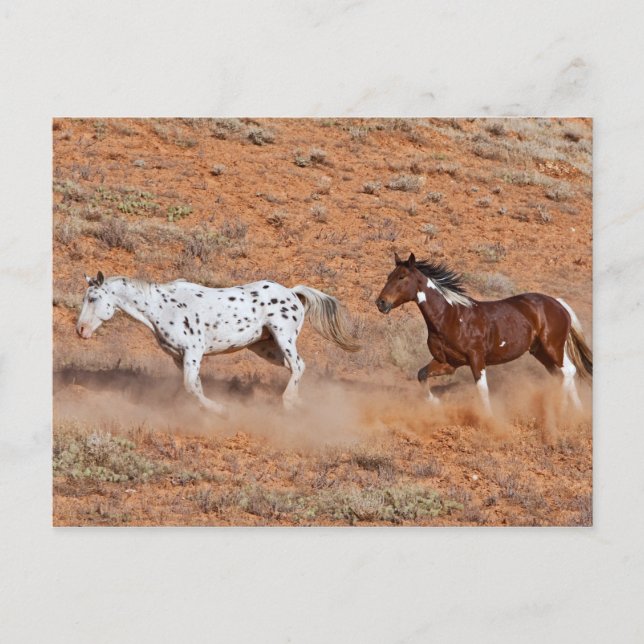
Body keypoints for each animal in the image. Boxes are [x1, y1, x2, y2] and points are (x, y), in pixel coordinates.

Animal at [76, 271, 359, 414]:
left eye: (92, 298)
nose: (80, 330)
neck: (162, 307)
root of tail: (292, 292)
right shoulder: (179, 357)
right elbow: (194, 385)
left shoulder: (193, 351)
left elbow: (190, 386)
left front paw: (219, 409)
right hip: (265, 347)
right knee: (296, 367)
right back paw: (301, 402)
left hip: (284, 336)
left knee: (299, 365)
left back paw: (289, 403)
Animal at [375, 253, 592, 413]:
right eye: (388, 276)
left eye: (401, 277)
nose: (381, 303)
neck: (451, 316)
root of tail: (558, 304)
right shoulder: (448, 363)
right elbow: (421, 375)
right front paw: (434, 403)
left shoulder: (476, 358)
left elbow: (482, 389)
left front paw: (489, 420)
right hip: (541, 351)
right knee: (563, 374)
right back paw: (577, 412)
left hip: (552, 347)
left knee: (568, 371)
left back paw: (561, 408)